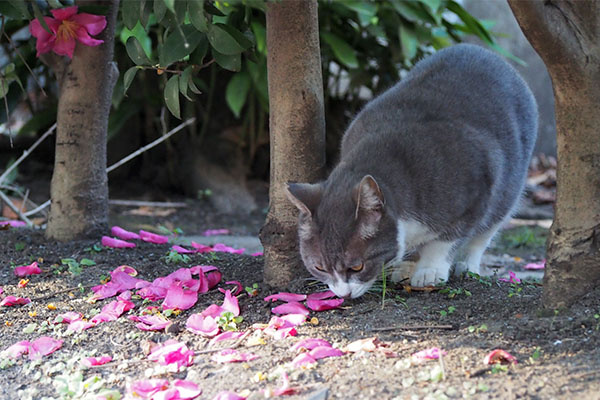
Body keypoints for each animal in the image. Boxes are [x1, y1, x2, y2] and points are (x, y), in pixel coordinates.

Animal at [286, 44, 540, 300]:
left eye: (357, 266)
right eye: (319, 267)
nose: (343, 295)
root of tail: (483, 51)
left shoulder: (475, 193)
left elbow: (447, 239)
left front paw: (430, 270)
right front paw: (406, 264)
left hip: (508, 186)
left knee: (486, 231)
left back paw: (467, 266)